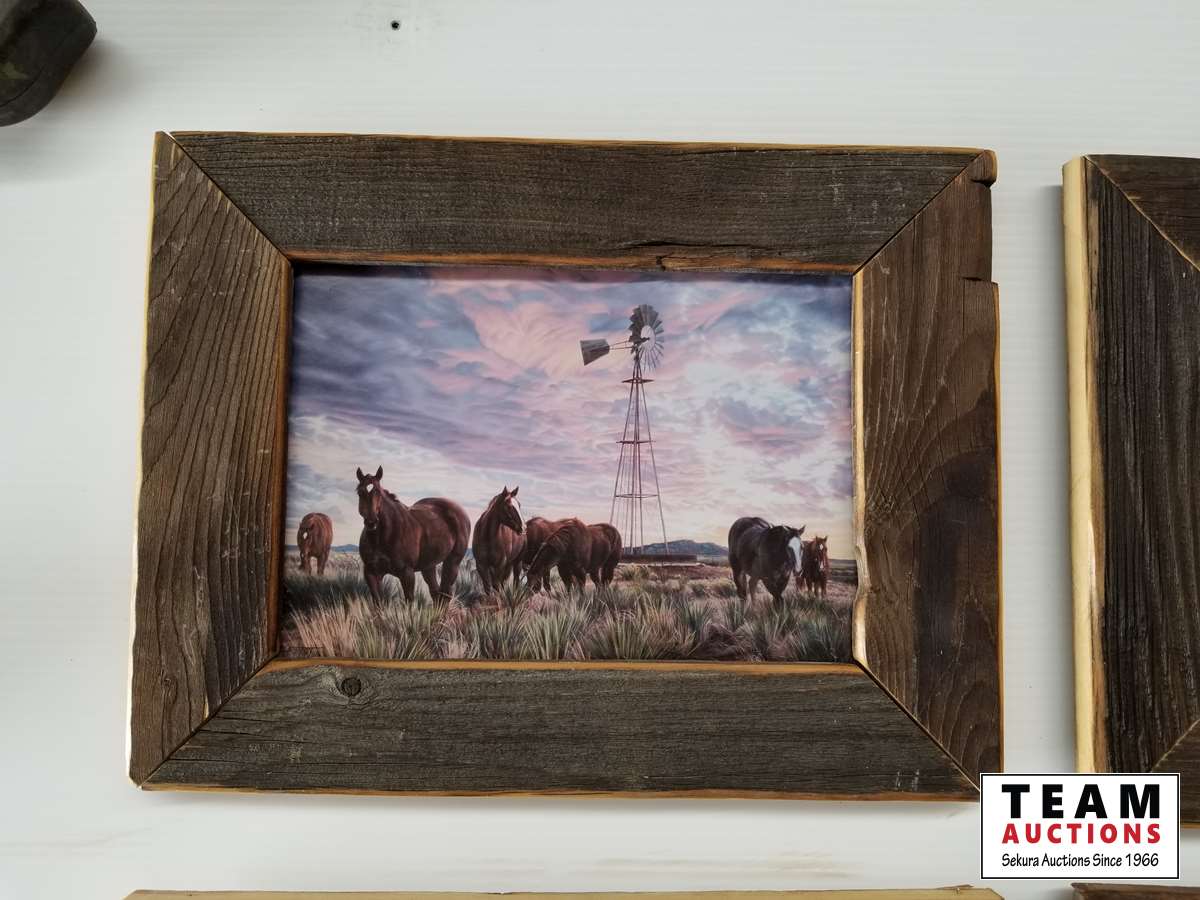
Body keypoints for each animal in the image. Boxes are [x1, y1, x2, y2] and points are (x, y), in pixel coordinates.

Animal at [355, 466, 471, 604]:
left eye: (378, 492)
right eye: (359, 492)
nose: (371, 522)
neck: (381, 538)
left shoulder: (407, 573)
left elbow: (409, 601)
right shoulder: (371, 573)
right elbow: (378, 603)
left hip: (452, 562)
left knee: (445, 593)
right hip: (428, 566)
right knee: (436, 593)